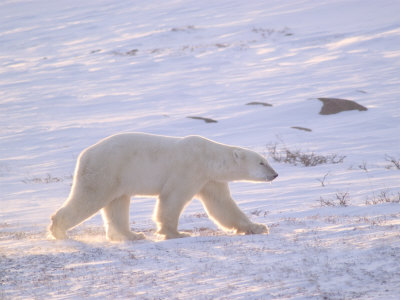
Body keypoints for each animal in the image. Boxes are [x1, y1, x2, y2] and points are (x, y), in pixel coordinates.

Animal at [48, 132, 276, 240]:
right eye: (261, 162)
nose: (275, 174)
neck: (208, 157)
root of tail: (83, 155)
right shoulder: (188, 169)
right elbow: (172, 198)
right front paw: (175, 233)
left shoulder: (209, 179)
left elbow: (222, 206)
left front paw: (258, 227)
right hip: (106, 170)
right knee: (89, 198)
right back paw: (59, 229)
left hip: (118, 178)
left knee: (117, 205)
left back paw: (132, 235)